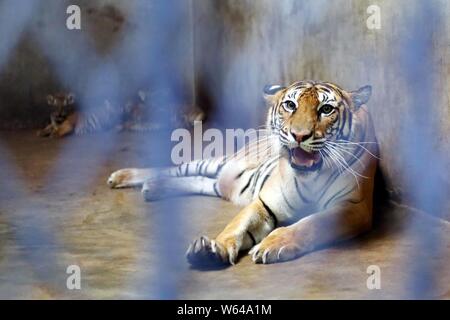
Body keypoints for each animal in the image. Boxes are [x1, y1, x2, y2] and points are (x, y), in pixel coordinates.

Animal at [107, 80, 378, 264]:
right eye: (290, 105)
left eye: (326, 109)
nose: (299, 135)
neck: (310, 177)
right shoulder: (265, 202)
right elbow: (236, 226)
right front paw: (214, 248)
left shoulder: (353, 207)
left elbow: (310, 224)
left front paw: (273, 245)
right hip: (220, 162)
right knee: (177, 168)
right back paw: (122, 177)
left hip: (222, 182)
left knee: (202, 182)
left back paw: (154, 188)